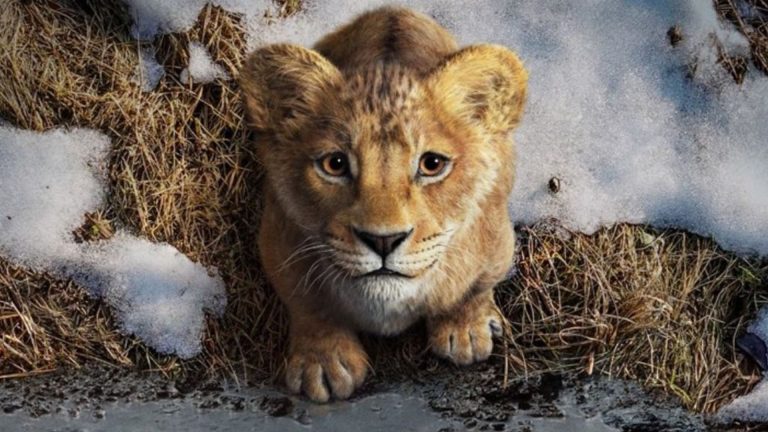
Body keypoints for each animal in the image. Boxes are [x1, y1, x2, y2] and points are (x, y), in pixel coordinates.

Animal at [240, 6, 527, 402]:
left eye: (432, 164)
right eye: (335, 164)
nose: (383, 240)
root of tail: (393, 9)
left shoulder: (497, 240)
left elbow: (474, 287)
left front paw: (466, 330)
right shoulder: (278, 240)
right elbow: (309, 304)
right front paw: (323, 363)